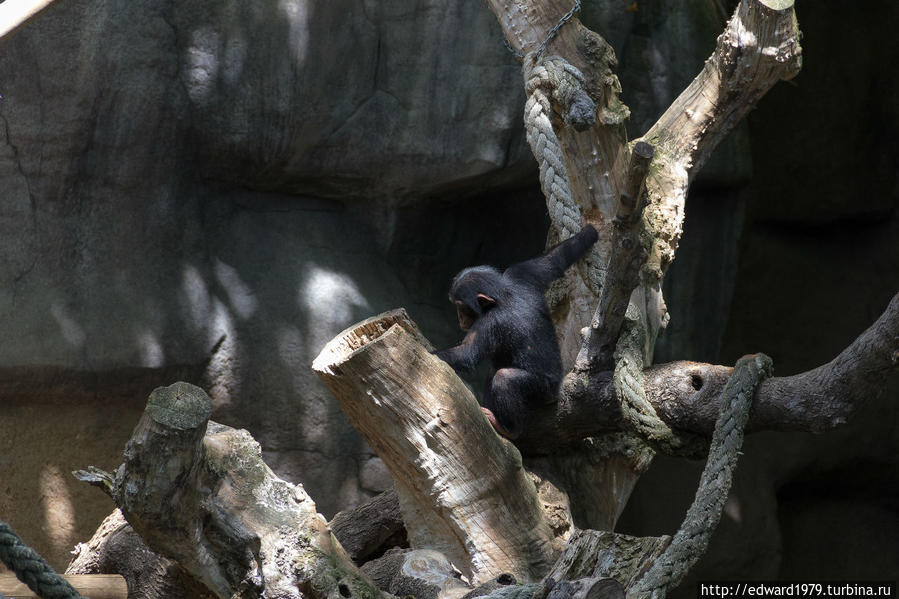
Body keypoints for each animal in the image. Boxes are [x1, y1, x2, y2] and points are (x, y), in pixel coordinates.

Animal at [436, 225, 596, 440]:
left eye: (462, 307)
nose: (460, 318)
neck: (502, 296)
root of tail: (557, 391)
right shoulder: (522, 274)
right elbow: (552, 261)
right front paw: (590, 232)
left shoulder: (490, 321)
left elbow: (466, 353)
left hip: (543, 390)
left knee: (504, 378)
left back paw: (508, 429)